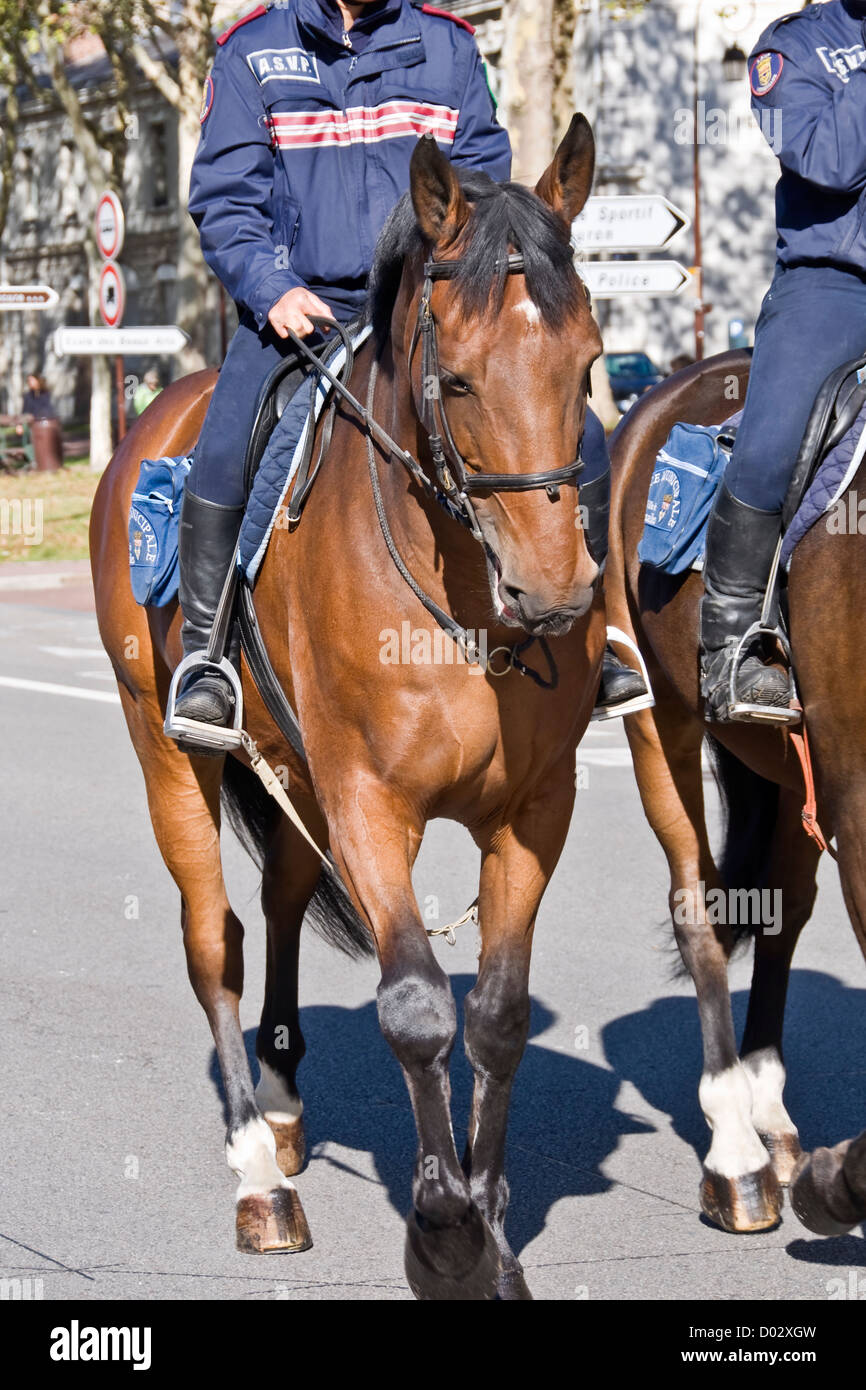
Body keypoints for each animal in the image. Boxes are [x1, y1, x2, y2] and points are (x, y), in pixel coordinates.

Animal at [89, 118, 605, 1300]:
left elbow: (495, 1017)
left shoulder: (533, 813)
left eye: (591, 363)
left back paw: (282, 1110)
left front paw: (491, 1226)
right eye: (455, 380)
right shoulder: (374, 804)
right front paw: (445, 1234)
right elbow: (414, 1005)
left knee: (279, 901)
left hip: (295, 774)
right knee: (215, 937)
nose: (556, 593)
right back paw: (256, 1175)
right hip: (169, 751)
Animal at [605, 350, 866, 1237]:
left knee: (779, 909)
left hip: (788, 775)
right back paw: (737, 1154)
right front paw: (839, 1182)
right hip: (662, 727)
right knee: (698, 905)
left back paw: (771, 1119)